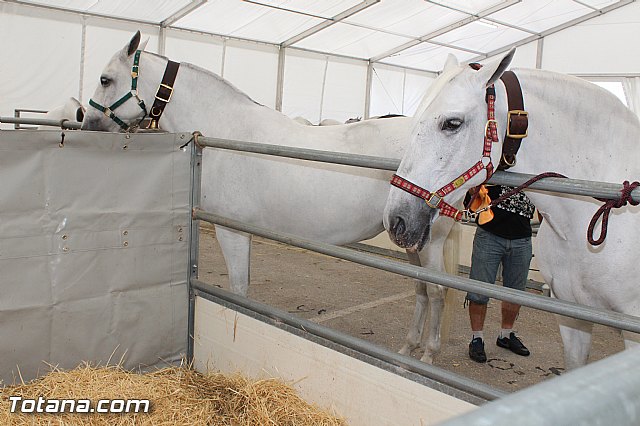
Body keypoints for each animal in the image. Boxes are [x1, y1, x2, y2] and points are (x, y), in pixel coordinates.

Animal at [81, 31, 454, 364]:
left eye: (105, 79)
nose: (87, 125)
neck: (227, 131)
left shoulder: (230, 230)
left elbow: (238, 289)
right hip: (409, 238)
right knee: (421, 289)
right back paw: (407, 351)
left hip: (431, 241)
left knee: (437, 291)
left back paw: (429, 355)